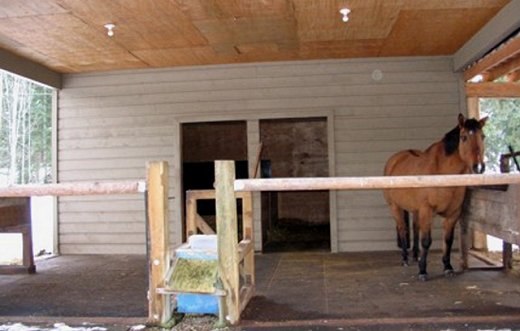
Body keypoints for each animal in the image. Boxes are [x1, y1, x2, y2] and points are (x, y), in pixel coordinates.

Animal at [382, 114, 488, 282]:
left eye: (482, 136)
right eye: (463, 137)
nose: (478, 167)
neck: (442, 173)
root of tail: (394, 160)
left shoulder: (453, 214)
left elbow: (448, 240)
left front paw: (447, 267)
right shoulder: (427, 210)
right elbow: (426, 241)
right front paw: (423, 271)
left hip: (415, 210)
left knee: (415, 228)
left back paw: (415, 256)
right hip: (395, 207)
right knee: (402, 229)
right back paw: (405, 259)